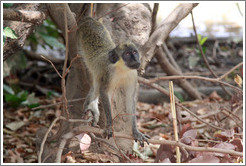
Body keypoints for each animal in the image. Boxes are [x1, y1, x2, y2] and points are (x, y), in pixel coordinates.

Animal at [78, 16, 149, 147]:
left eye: (134, 52)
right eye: (127, 54)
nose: (136, 60)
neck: (122, 68)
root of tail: (89, 20)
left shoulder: (133, 75)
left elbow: (130, 99)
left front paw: (135, 131)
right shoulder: (108, 72)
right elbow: (104, 91)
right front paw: (109, 126)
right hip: (78, 41)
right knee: (96, 80)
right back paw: (90, 104)